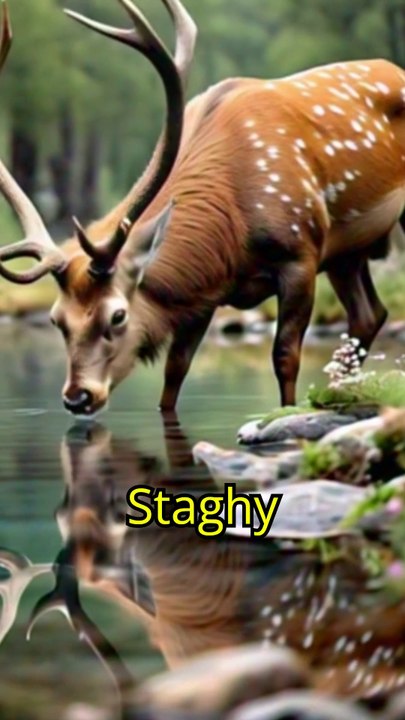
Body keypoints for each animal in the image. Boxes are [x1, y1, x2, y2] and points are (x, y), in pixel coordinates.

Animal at [1, 1, 405, 417]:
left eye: (117, 315)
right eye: (56, 319)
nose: (77, 397)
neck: (232, 233)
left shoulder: (300, 254)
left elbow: (285, 356)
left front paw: (287, 411)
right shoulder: (203, 295)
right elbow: (175, 370)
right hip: (346, 253)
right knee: (369, 314)